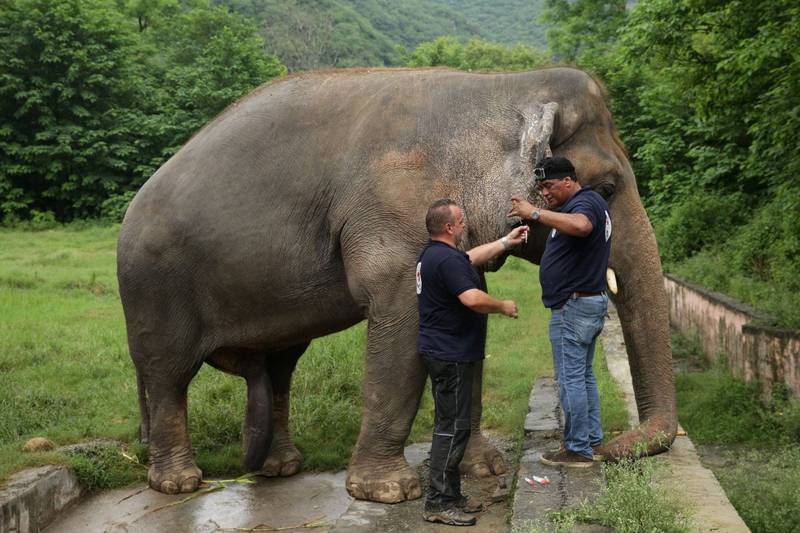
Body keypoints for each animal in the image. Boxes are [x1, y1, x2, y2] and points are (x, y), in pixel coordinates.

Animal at [117, 66, 676, 498]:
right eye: (607, 188)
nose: (611, 447)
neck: (499, 87)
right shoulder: (392, 216)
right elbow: (402, 325)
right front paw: (388, 491)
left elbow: (468, 330)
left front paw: (484, 469)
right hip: (152, 286)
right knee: (168, 374)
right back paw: (178, 483)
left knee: (279, 369)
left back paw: (280, 468)